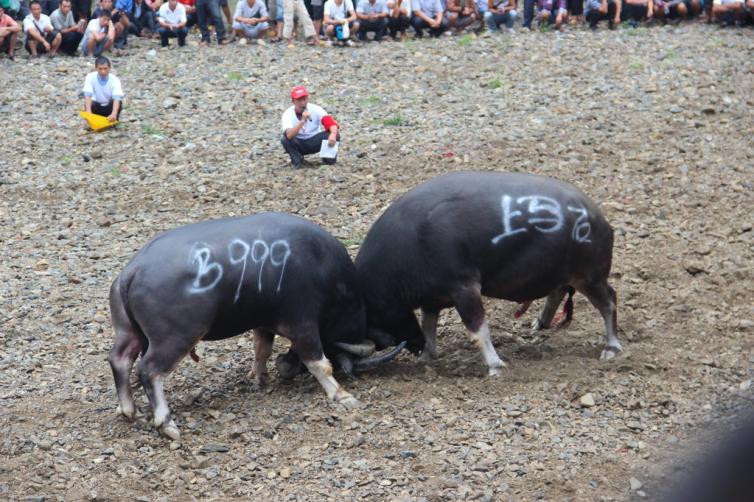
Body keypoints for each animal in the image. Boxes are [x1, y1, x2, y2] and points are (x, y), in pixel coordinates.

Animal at [108, 212, 402, 440]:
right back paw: (166, 423)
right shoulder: (303, 323)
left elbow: (262, 349)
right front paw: (341, 394)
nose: (287, 367)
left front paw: (260, 378)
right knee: (149, 371)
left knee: (120, 360)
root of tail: (134, 271)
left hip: (129, 332)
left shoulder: (264, 323)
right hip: (175, 337)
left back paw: (128, 410)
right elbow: (320, 363)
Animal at [356, 171, 620, 374]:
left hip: (591, 276)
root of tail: (598, 218)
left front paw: (495, 365)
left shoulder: (464, 288)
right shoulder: (433, 298)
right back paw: (541, 323)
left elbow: (478, 330)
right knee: (558, 292)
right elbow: (429, 326)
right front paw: (427, 357)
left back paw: (612, 348)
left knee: (608, 303)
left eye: (372, 318)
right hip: (563, 273)